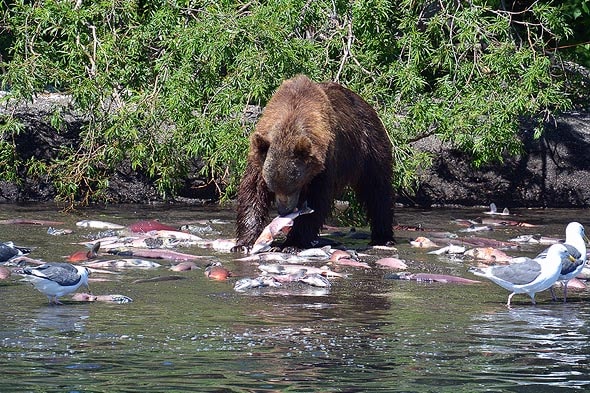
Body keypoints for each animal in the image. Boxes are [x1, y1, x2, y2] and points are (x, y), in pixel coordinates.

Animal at [236, 74, 398, 248]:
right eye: (272, 187)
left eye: (295, 185)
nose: (284, 211)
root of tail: (367, 105)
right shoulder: (261, 157)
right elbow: (252, 191)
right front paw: (245, 241)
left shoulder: (324, 162)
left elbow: (317, 200)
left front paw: (293, 243)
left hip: (369, 148)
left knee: (377, 189)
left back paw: (383, 236)